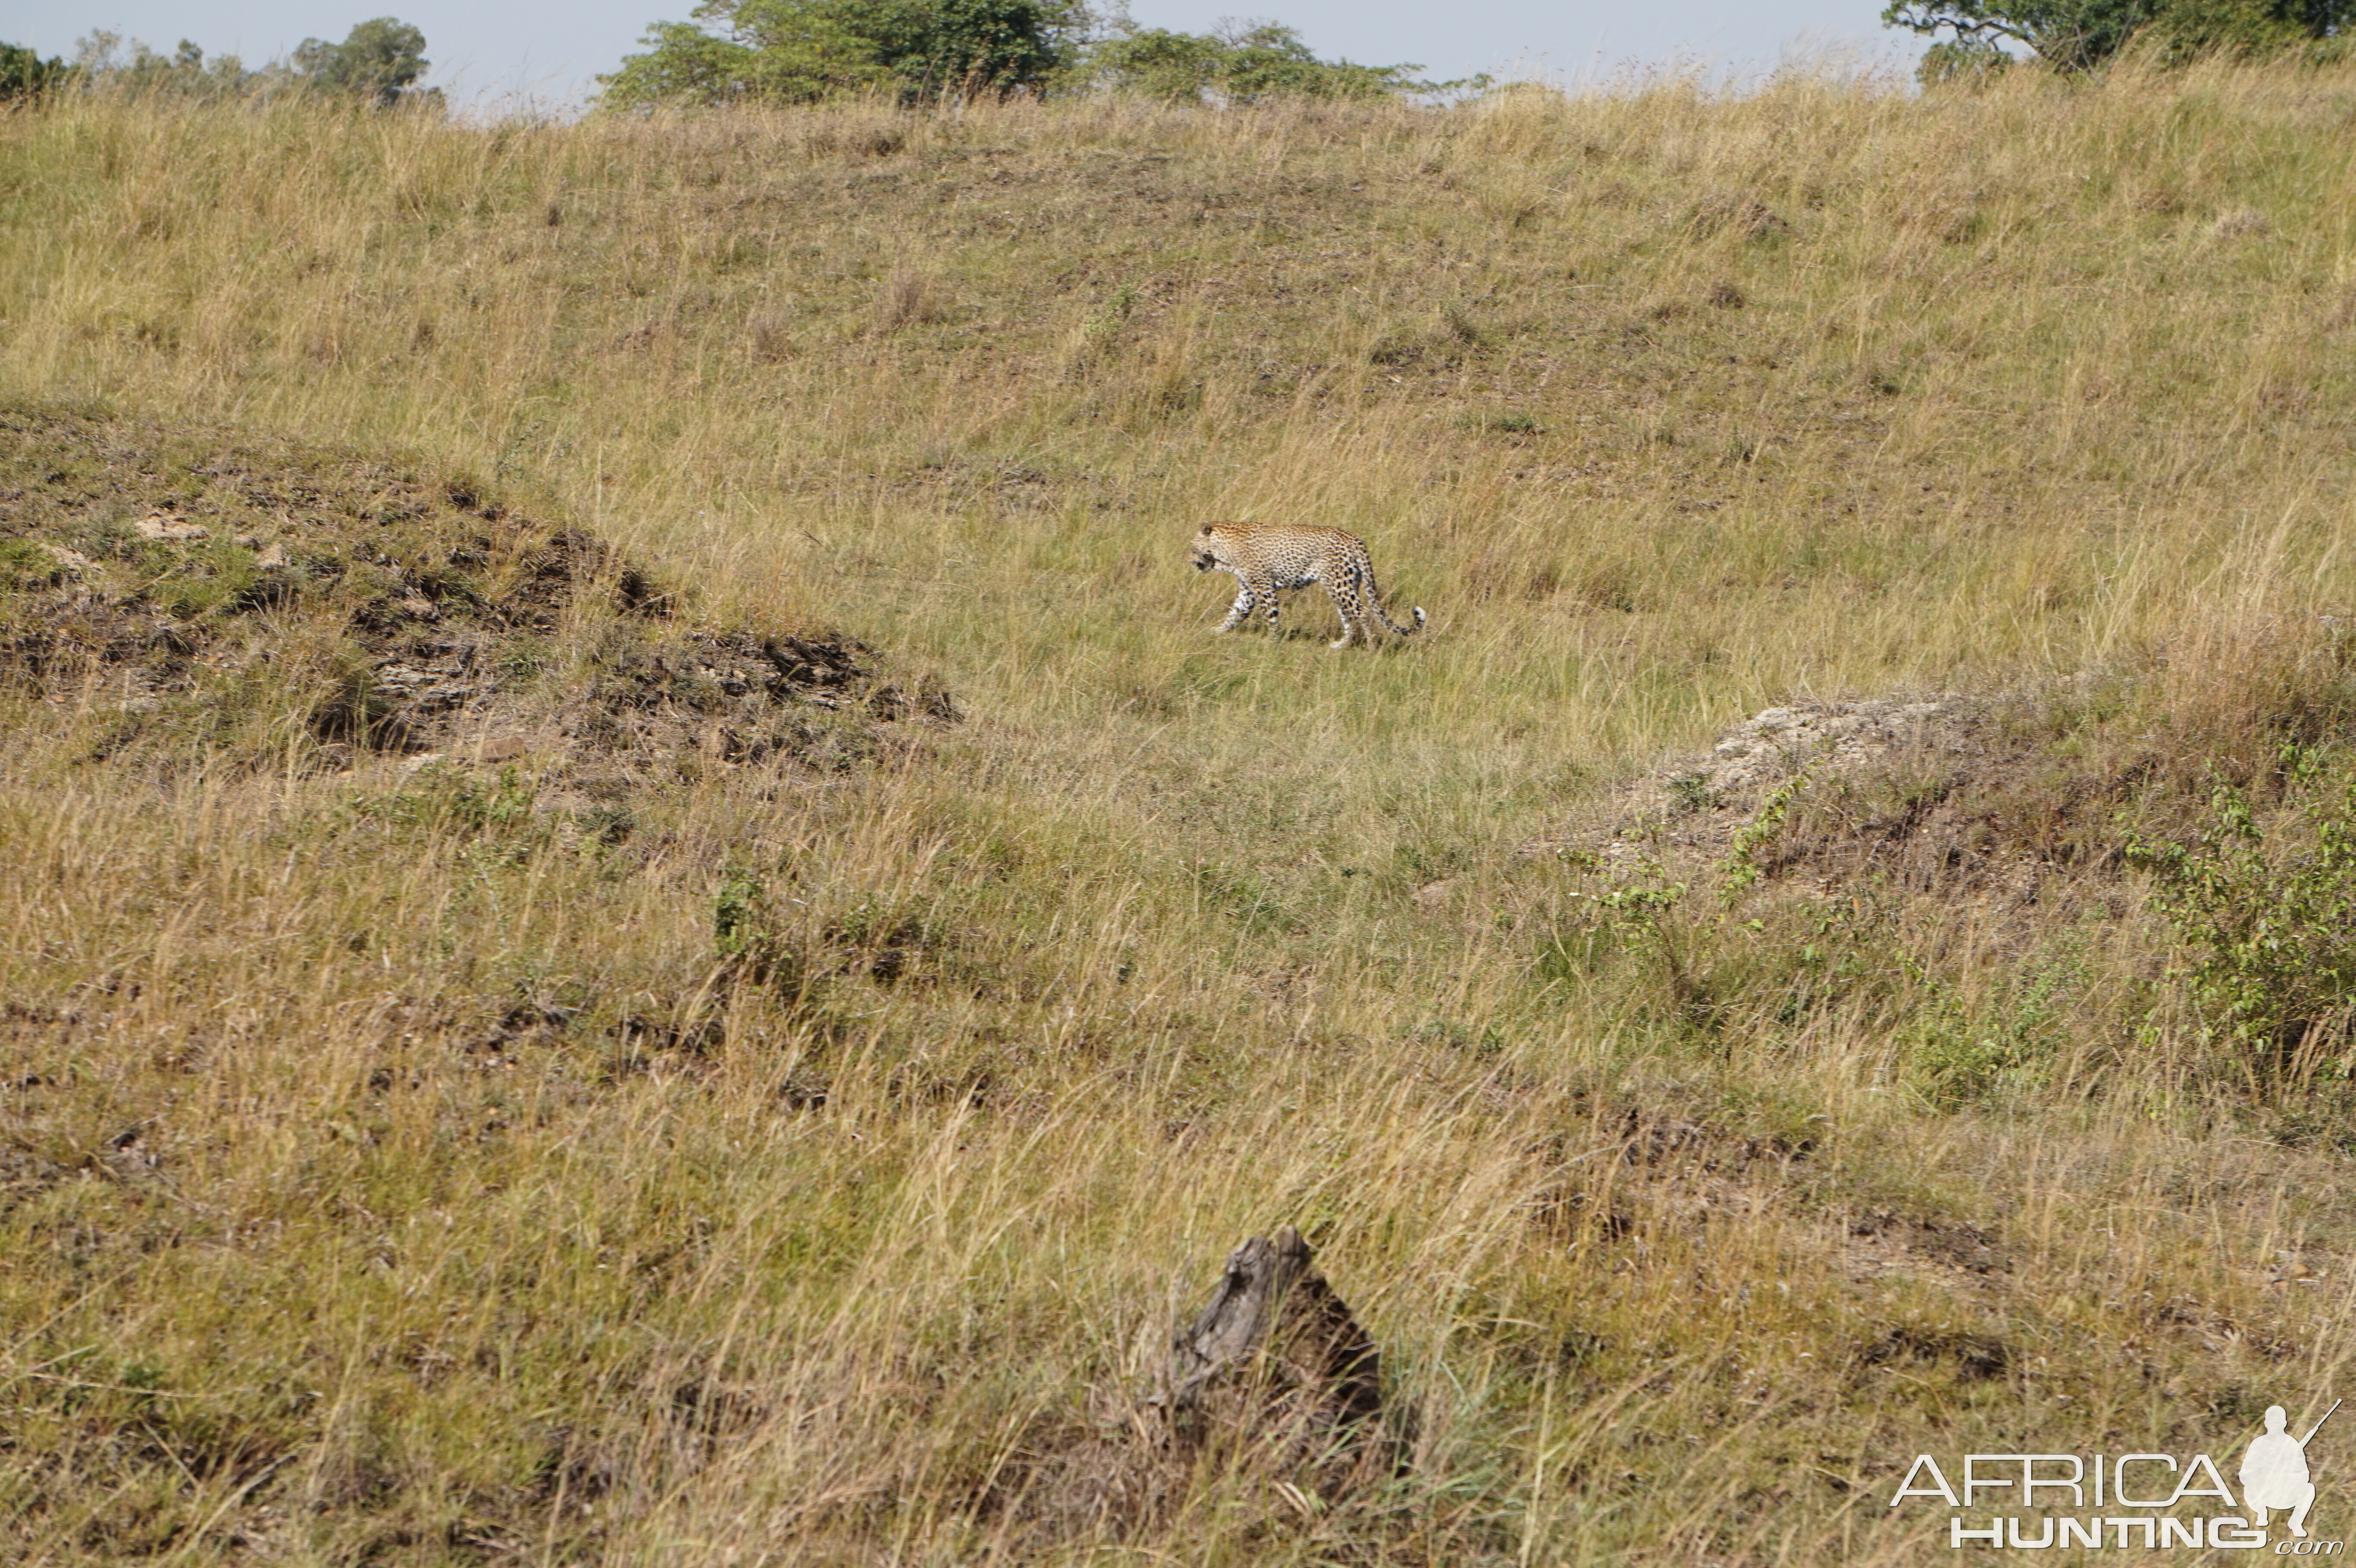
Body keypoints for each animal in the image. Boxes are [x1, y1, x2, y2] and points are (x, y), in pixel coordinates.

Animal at [1187, 518, 1423, 645]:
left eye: (1192, 547)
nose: (1189, 561)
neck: (1225, 553)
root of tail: (1355, 539)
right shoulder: (1248, 591)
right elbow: (1235, 615)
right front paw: (1214, 633)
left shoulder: (1264, 588)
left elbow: (1271, 617)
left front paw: (1271, 644)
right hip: (1344, 585)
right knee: (1349, 617)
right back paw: (1339, 647)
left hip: (1339, 585)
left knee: (1363, 613)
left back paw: (1373, 647)